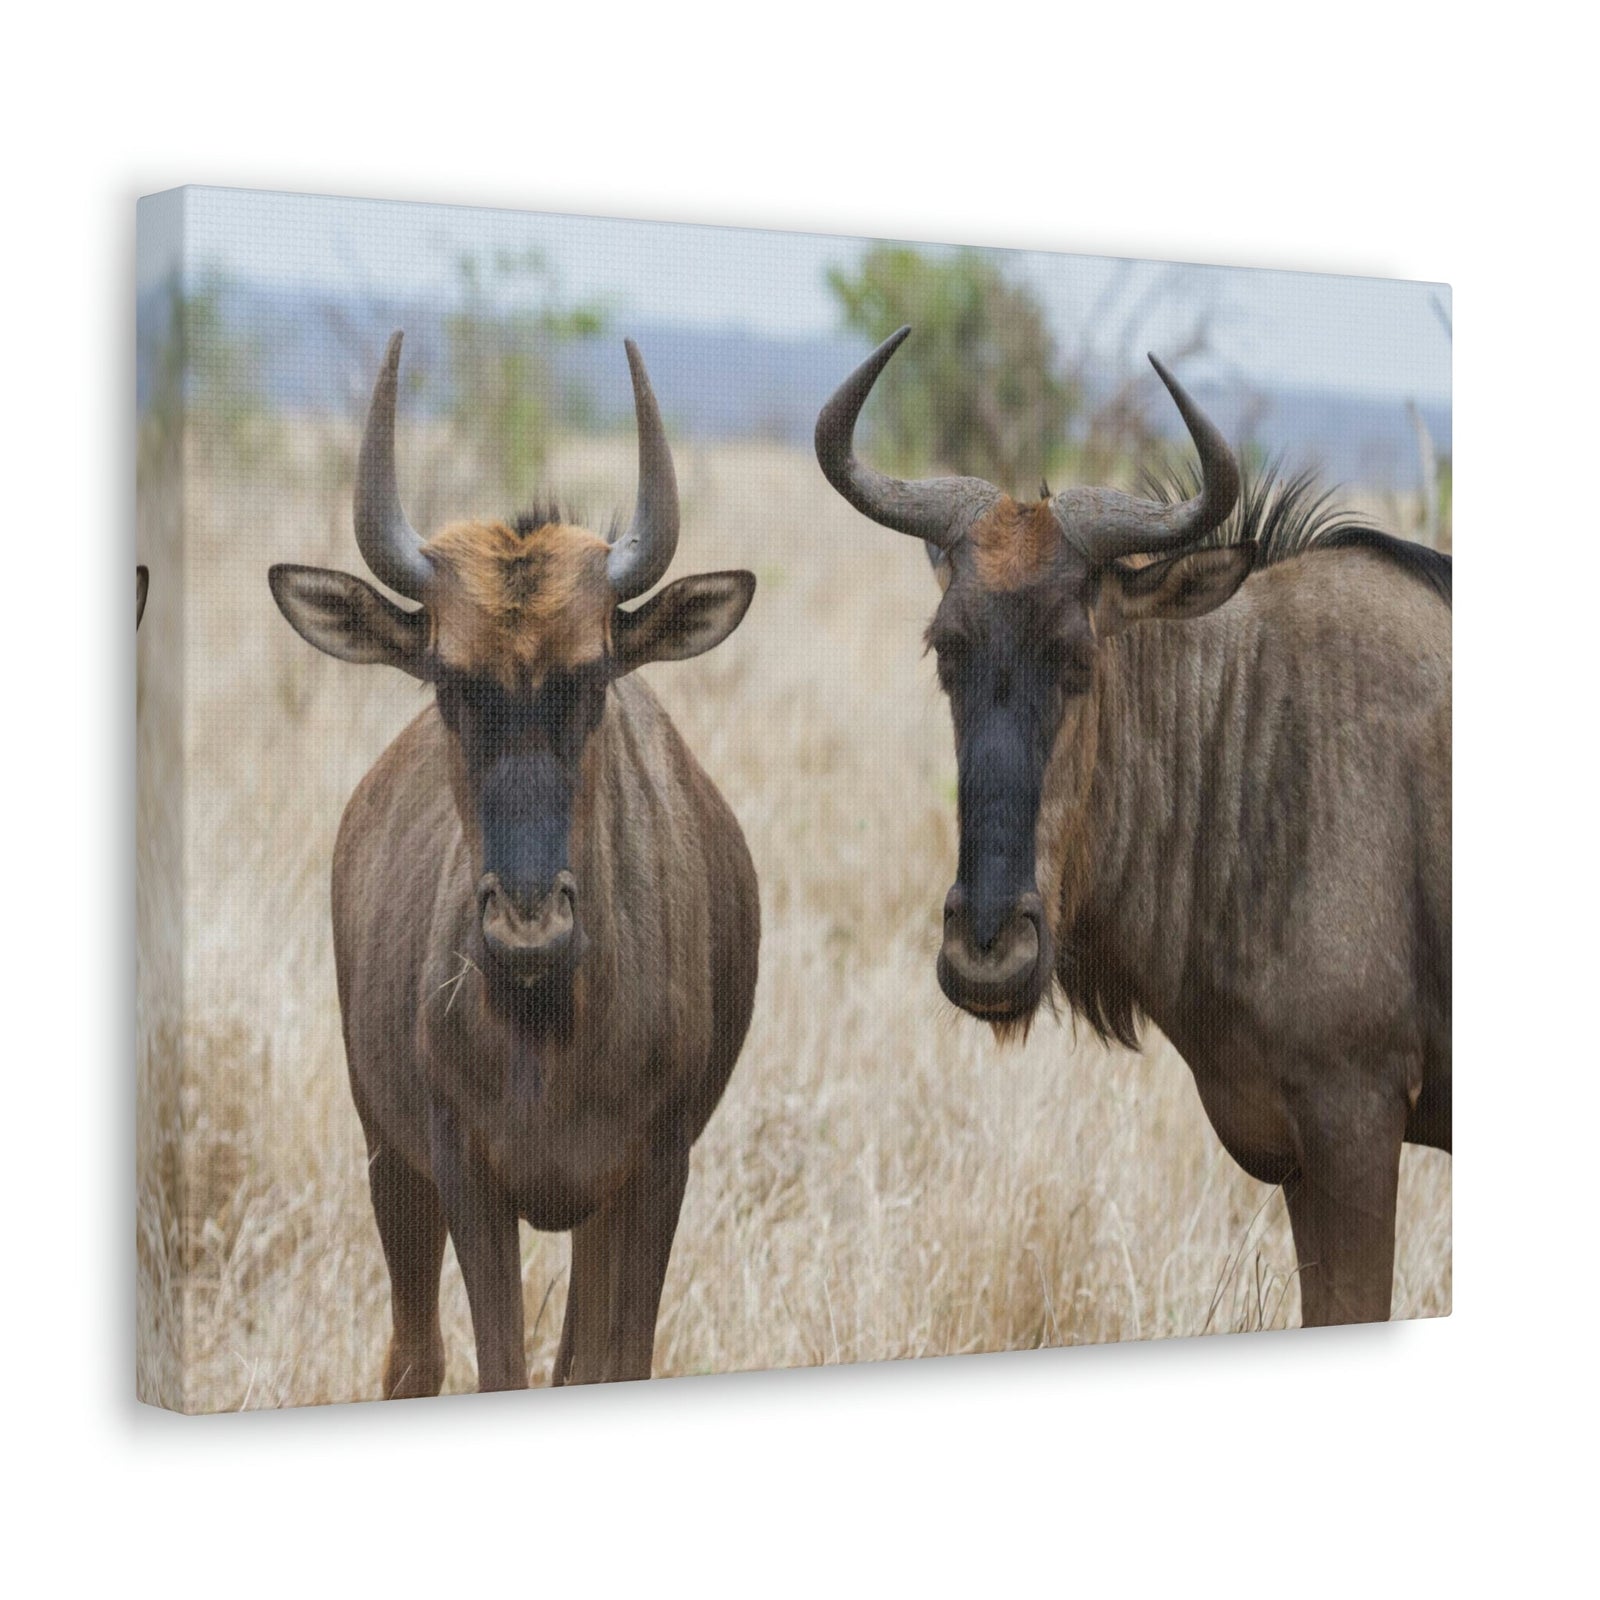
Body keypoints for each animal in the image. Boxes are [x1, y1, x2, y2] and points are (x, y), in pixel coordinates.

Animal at [270, 334, 759, 1393]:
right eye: (450, 680)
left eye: (594, 676)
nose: (528, 925)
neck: (548, 1021)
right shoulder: (463, 1173)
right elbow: (497, 1365)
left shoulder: (653, 1173)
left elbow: (613, 1361)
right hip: (388, 1161)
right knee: (414, 1357)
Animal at [816, 328, 1450, 1327]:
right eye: (946, 648)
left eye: (1077, 656)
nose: (985, 953)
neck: (1261, 742)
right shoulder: (1304, 1158)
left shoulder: (1356, 1124)